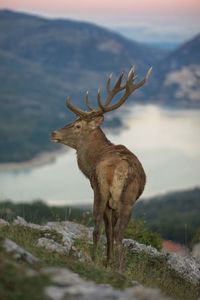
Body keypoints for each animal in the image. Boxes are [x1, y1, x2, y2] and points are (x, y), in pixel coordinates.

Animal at [51, 67, 152, 268]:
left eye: (77, 125)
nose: (54, 133)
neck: (90, 162)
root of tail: (118, 169)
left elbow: (107, 228)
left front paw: (108, 260)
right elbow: (110, 229)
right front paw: (108, 260)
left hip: (102, 191)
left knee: (102, 227)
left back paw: (103, 262)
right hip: (123, 198)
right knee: (115, 231)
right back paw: (116, 265)